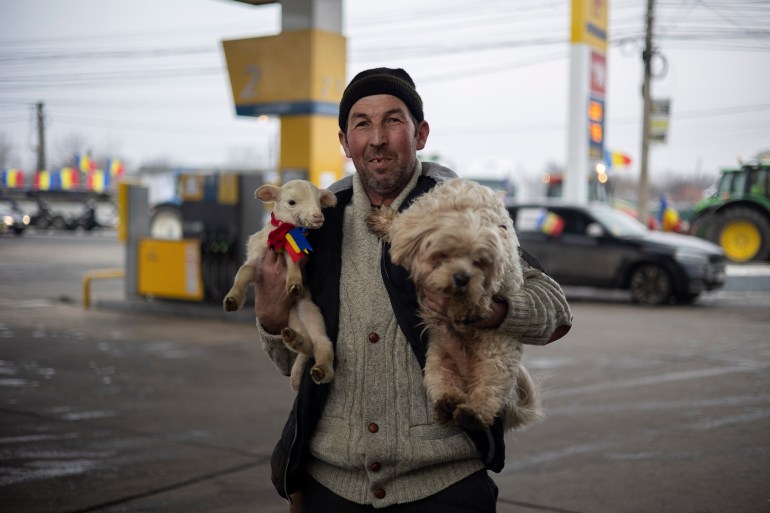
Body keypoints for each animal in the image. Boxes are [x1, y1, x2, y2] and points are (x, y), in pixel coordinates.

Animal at [224, 179, 338, 388]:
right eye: (291, 202)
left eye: (319, 201)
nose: (318, 216)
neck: (283, 233)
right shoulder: (256, 262)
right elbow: (244, 272)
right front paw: (232, 300)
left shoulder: (296, 255)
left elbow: (292, 263)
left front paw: (293, 283)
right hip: (292, 316)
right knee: (309, 346)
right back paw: (296, 342)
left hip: (309, 311)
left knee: (321, 343)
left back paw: (320, 370)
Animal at [366, 178, 540, 430]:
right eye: (445, 254)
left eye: (479, 262)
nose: (462, 279)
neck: (466, 211)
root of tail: (467, 374)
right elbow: (399, 227)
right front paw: (384, 220)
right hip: (437, 364)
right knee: (446, 387)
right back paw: (448, 404)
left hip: (496, 362)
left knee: (488, 394)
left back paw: (472, 413)